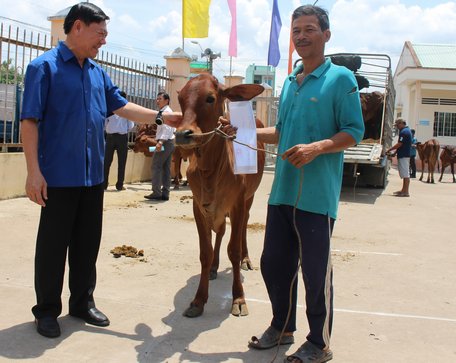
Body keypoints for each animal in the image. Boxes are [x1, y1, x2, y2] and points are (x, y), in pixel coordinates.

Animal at [175, 73, 268, 318]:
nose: (182, 134)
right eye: (180, 98)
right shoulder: (199, 207)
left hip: (249, 198)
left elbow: (233, 250)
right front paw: (198, 300)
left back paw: (246, 259)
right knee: (220, 232)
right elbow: (205, 252)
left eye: (210, 98)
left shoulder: (237, 203)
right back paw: (215, 267)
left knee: (243, 226)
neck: (211, 169)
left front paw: (239, 298)